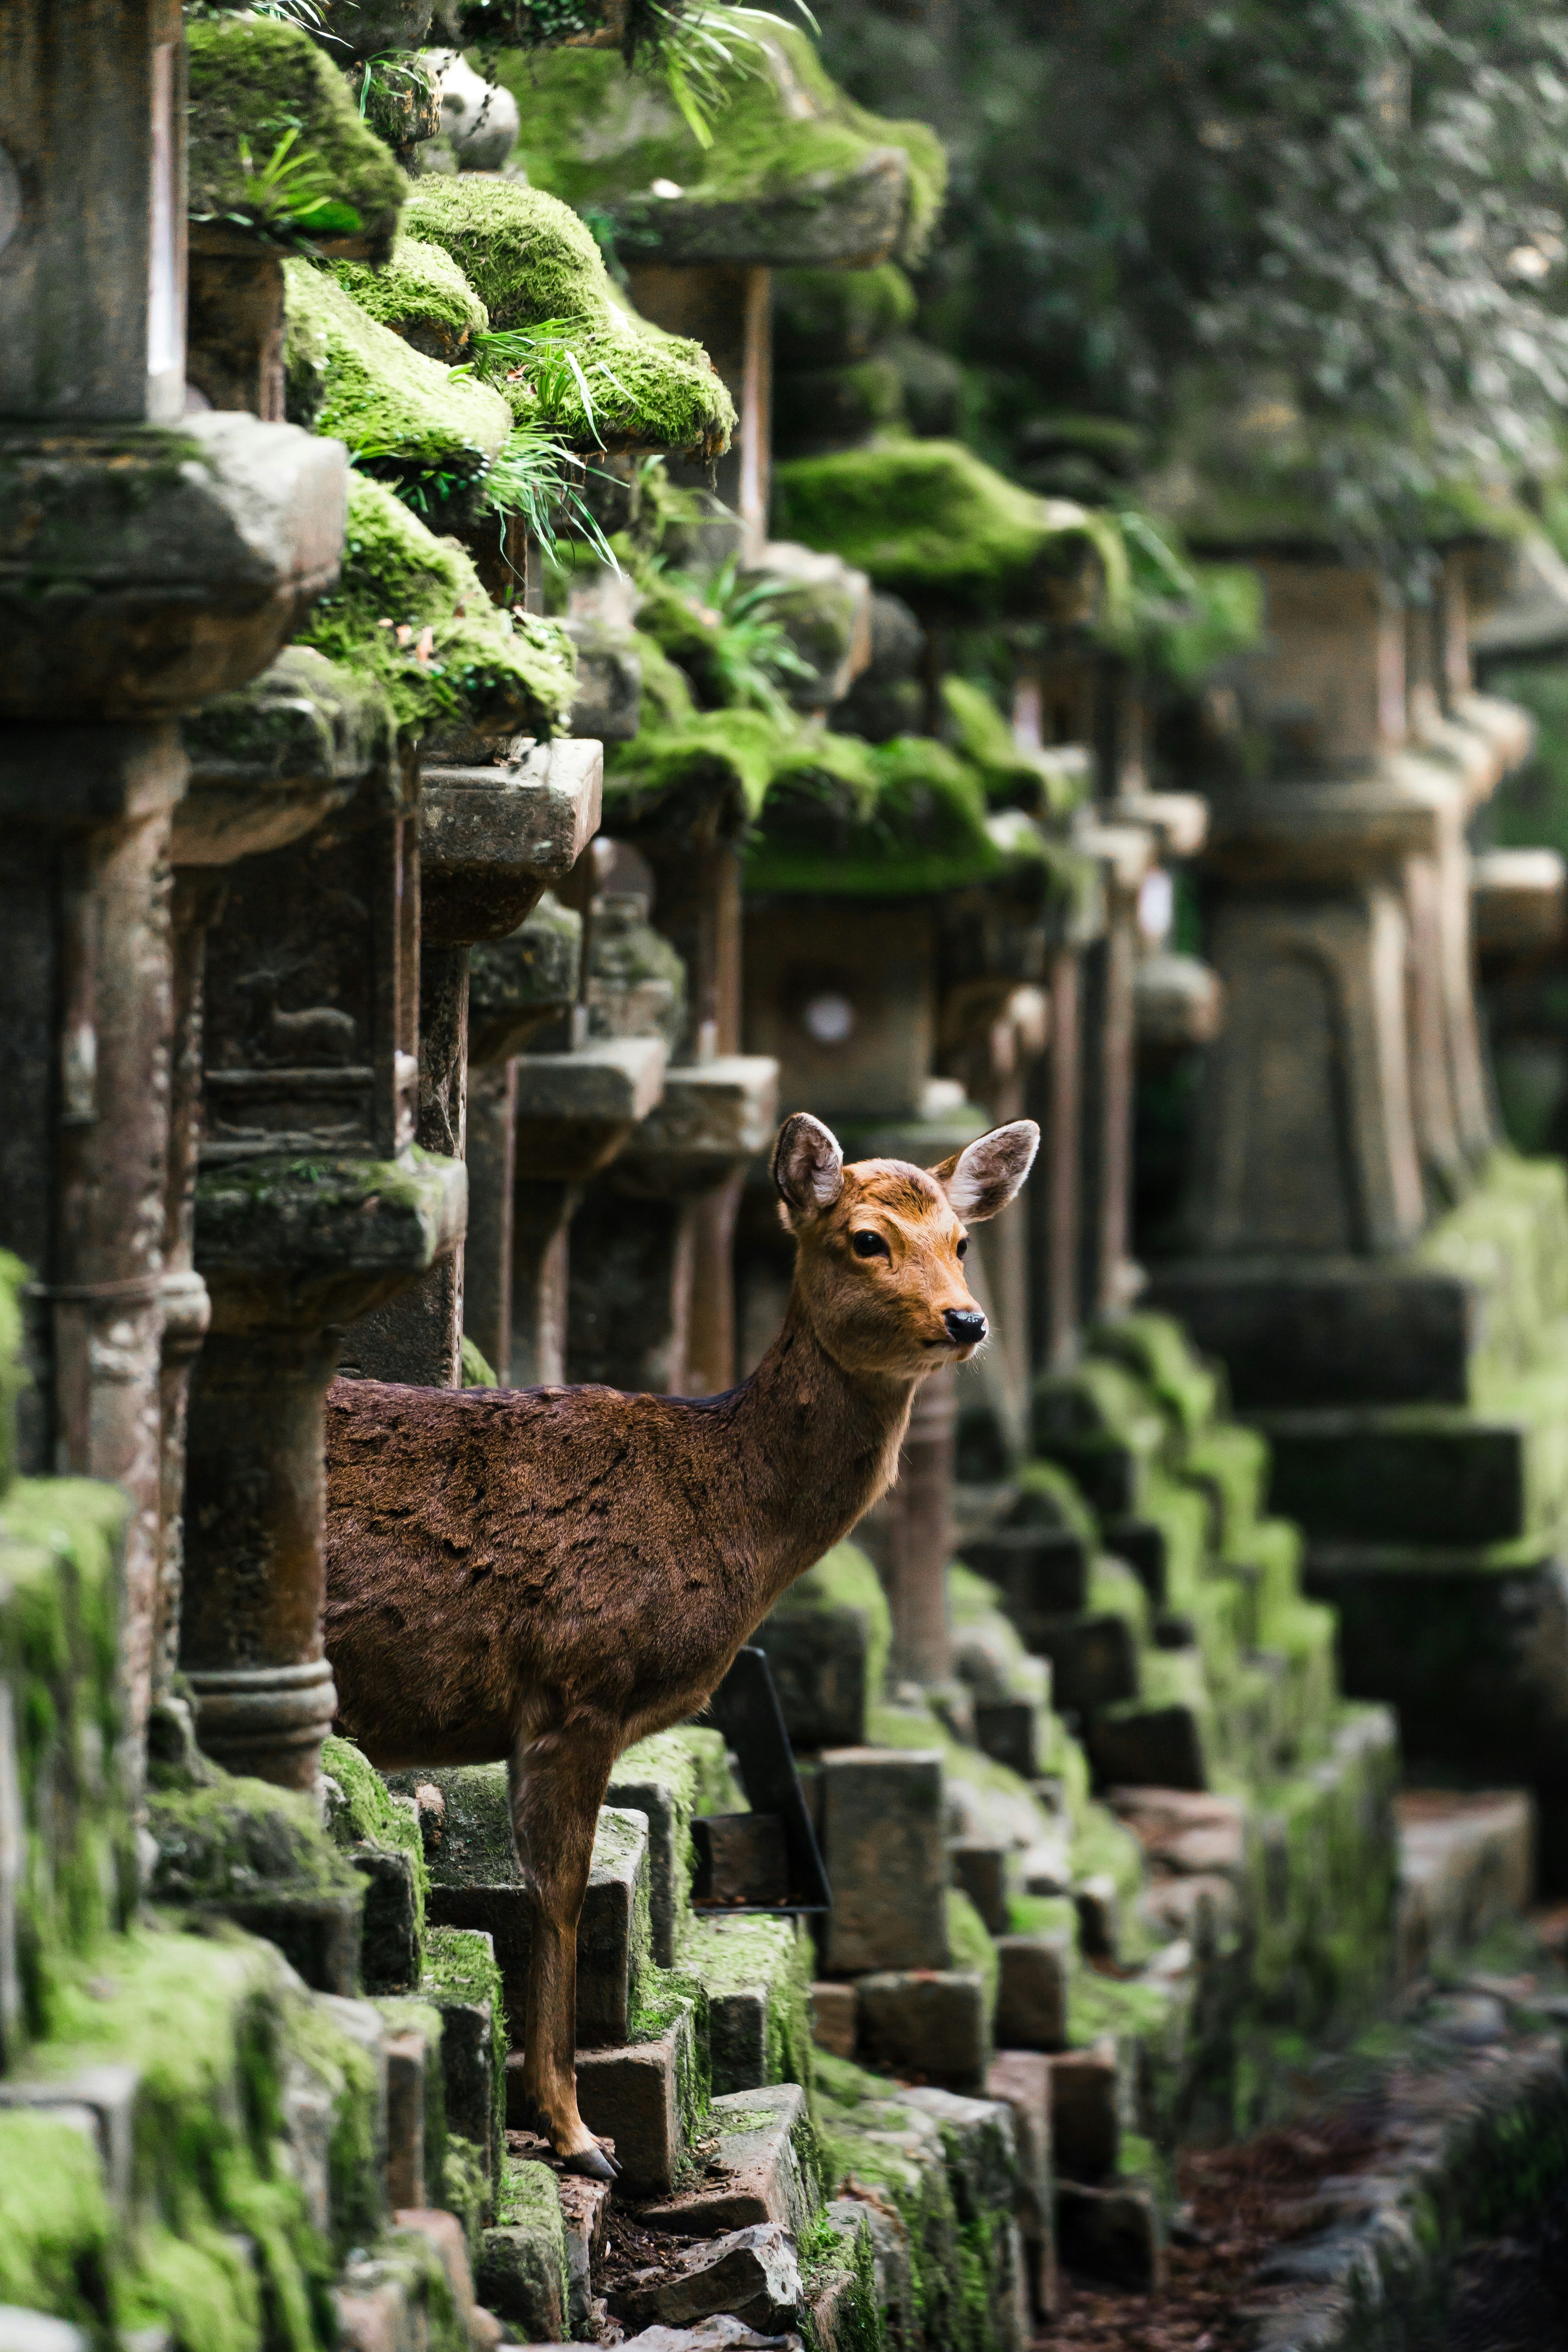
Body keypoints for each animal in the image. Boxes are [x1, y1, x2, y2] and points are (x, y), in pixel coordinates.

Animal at [322, 1109, 1039, 2179]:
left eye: (959, 1240)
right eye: (865, 1239)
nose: (966, 1321)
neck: (721, 1507)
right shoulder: (574, 1681)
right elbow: (559, 1896)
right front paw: (578, 2135)